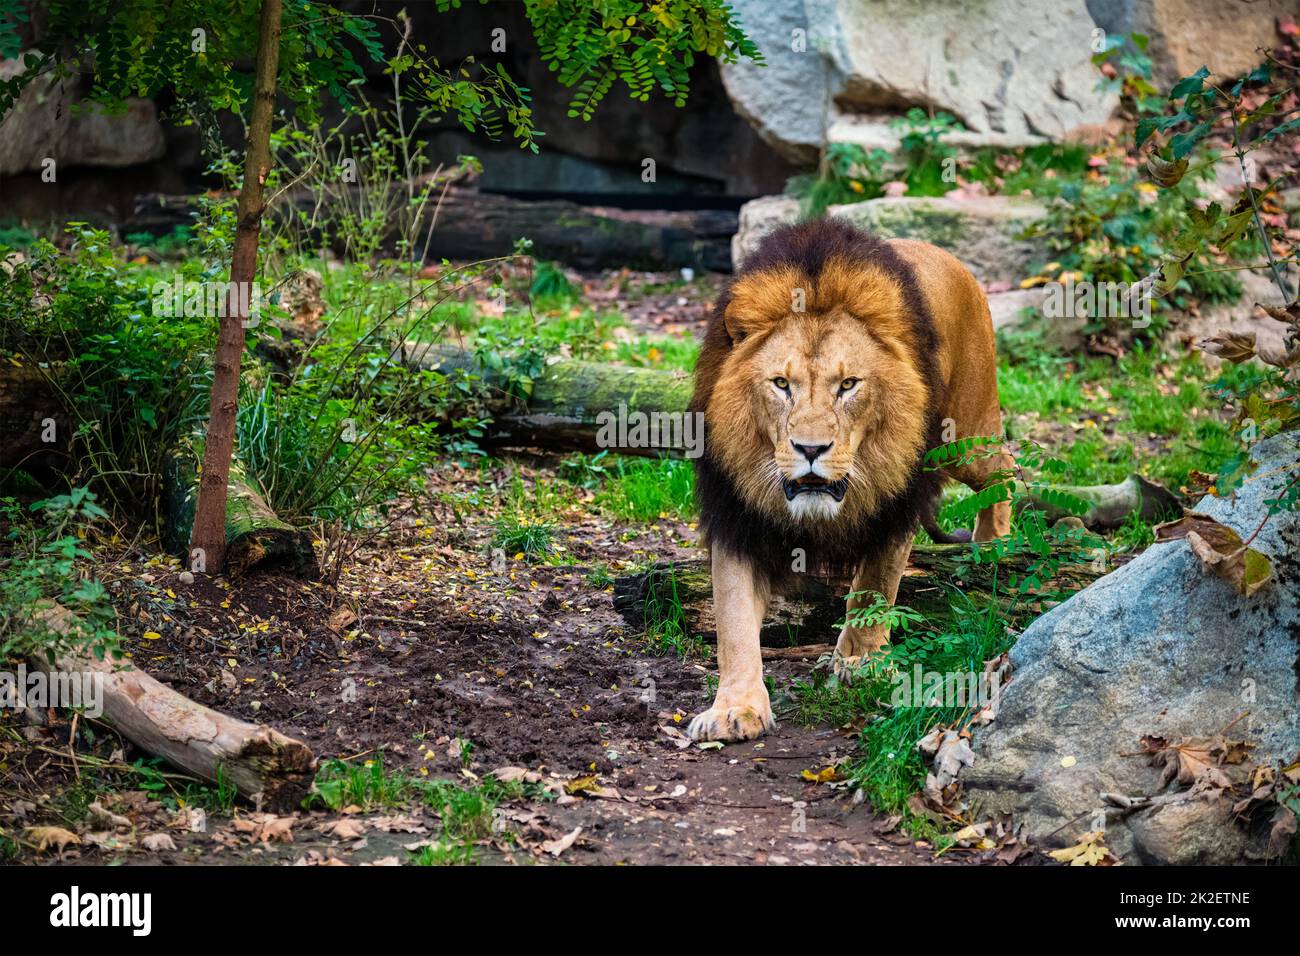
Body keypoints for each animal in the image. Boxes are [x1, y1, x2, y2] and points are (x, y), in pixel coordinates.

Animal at [686, 218, 1008, 749]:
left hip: (963, 435)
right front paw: (735, 709)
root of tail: (951, 257)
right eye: (781, 384)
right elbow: (732, 619)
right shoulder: (737, 516)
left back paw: (998, 544)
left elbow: (874, 587)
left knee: (1008, 468)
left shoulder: (896, 502)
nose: (810, 449)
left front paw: (860, 663)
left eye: (848, 385)